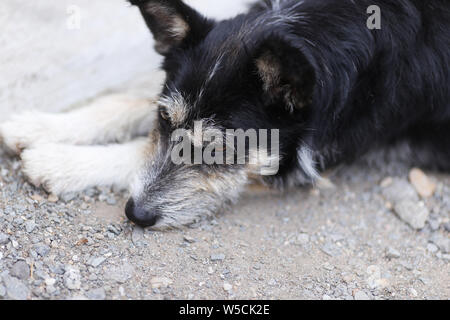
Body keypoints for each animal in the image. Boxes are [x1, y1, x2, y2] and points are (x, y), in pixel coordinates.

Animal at [0, 0, 448, 230]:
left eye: (219, 151)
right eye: (165, 121)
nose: (135, 214)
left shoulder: (305, 158)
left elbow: (132, 151)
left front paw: (59, 161)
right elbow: (128, 104)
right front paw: (37, 124)